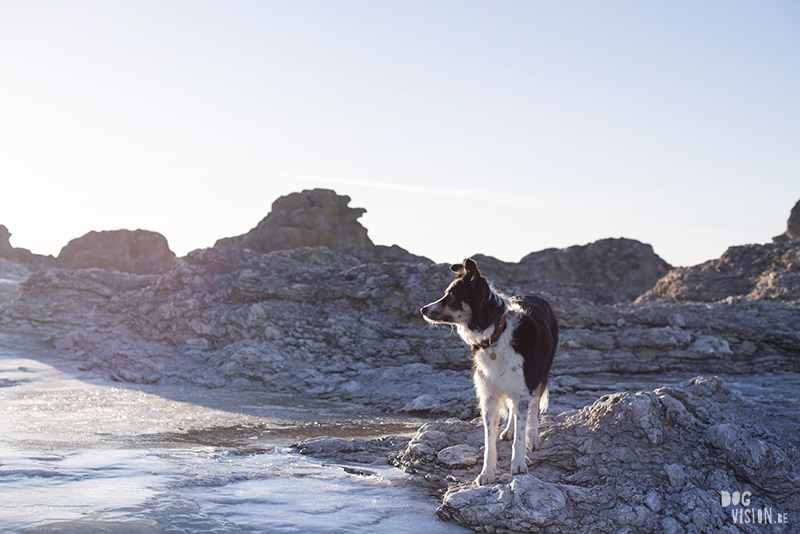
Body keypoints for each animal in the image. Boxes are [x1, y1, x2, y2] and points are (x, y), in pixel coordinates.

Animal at [422, 258, 560, 488]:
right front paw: (487, 473)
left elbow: (521, 434)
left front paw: (519, 465)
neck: (495, 335)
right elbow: (489, 441)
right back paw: (509, 430)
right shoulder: (489, 396)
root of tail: (535, 296)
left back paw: (533, 437)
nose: (423, 309)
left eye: (452, 296)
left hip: (540, 376)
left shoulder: (523, 389)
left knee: (534, 410)